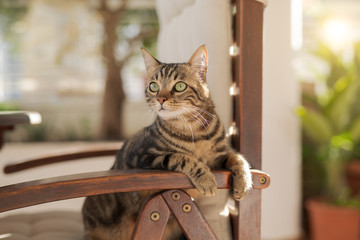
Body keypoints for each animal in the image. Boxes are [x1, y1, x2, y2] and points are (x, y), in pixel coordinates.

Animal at [82, 45, 253, 240]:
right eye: (153, 86)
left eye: (179, 86)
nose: (160, 99)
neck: (194, 131)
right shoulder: (145, 156)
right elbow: (181, 158)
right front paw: (206, 179)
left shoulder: (222, 155)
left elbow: (239, 159)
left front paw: (244, 181)